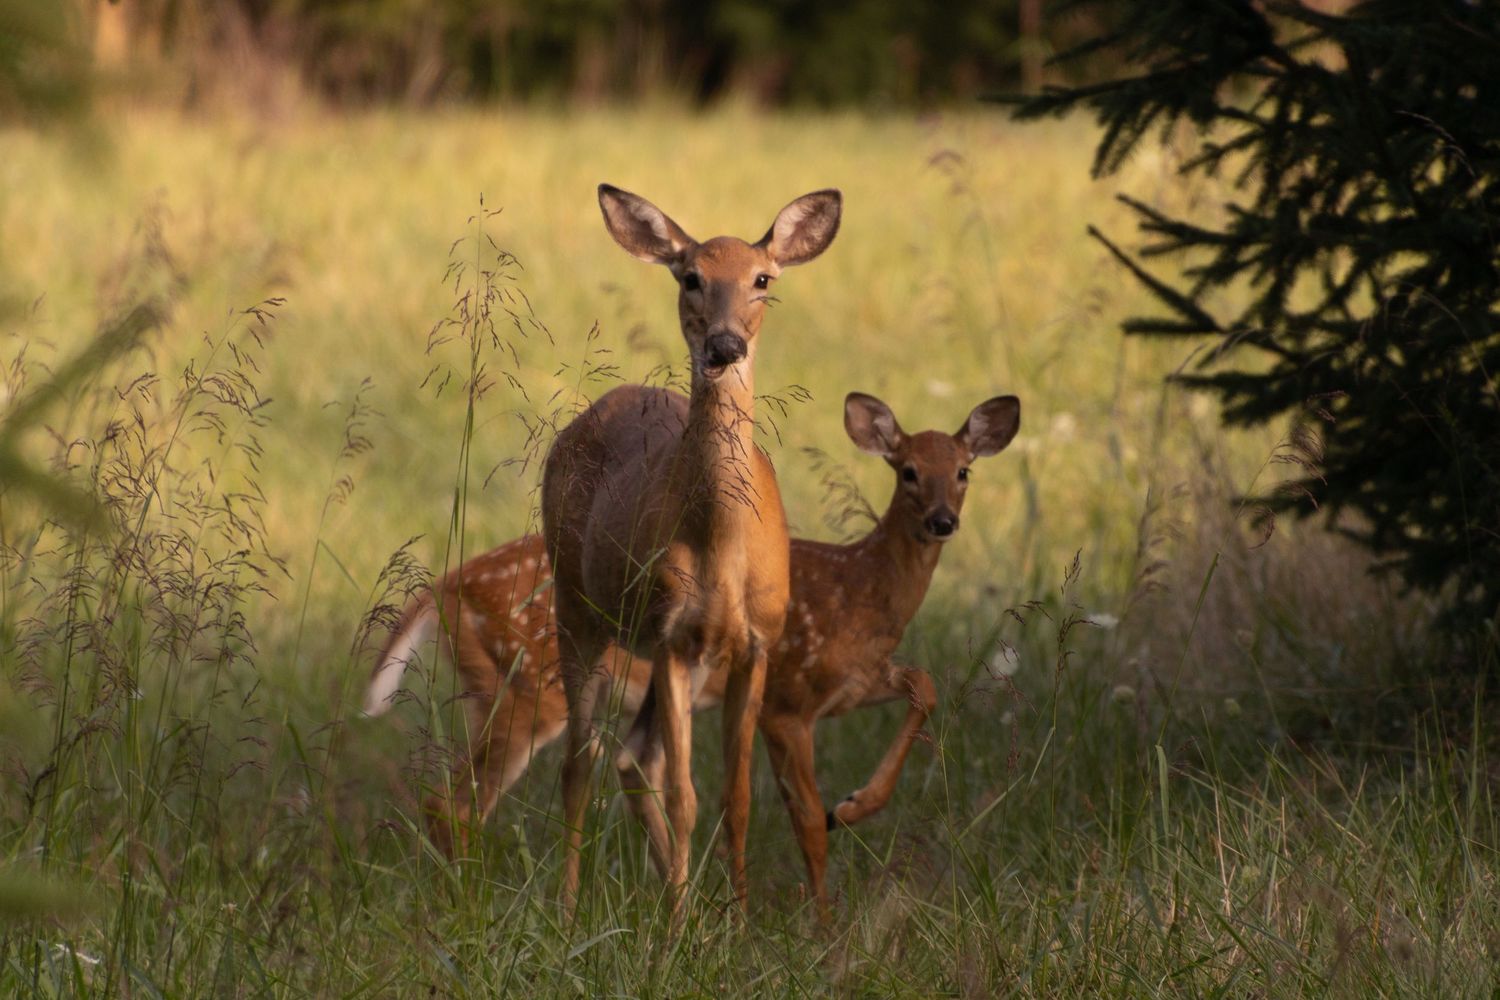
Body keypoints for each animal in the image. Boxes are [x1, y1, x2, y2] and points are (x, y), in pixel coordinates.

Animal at [365, 390, 1021, 909]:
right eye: (907, 470)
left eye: (964, 471)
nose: (941, 521)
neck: (860, 589)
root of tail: (445, 586)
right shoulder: (789, 699)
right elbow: (808, 819)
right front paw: (825, 926)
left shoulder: (852, 683)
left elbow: (925, 685)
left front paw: (856, 806)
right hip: (529, 688)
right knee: (453, 803)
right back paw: (467, 904)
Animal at [539, 184, 841, 911]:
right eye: (691, 277)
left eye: (763, 280)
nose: (724, 344)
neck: (722, 546)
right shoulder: (674, 634)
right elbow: (685, 796)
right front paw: (680, 927)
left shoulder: (755, 640)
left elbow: (736, 799)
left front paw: (733, 917)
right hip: (578, 605)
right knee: (581, 762)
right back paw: (570, 907)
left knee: (632, 753)